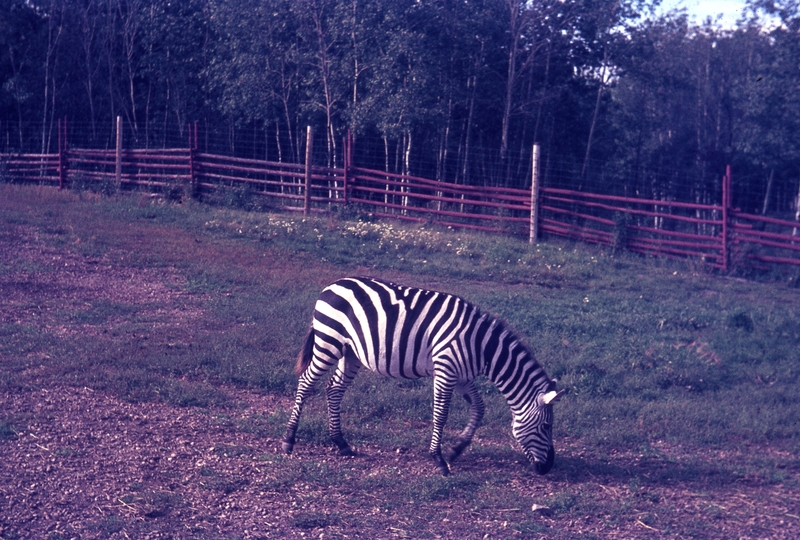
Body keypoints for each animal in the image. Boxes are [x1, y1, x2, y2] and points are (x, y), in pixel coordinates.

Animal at [282, 276, 564, 474]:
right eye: (547, 426)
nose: (548, 467)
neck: (481, 347)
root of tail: (332, 285)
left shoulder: (462, 376)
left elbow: (479, 407)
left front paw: (456, 449)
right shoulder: (446, 370)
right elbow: (441, 414)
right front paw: (438, 460)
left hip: (349, 352)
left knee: (334, 389)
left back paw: (341, 443)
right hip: (328, 342)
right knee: (306, 382)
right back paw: (289, 440)